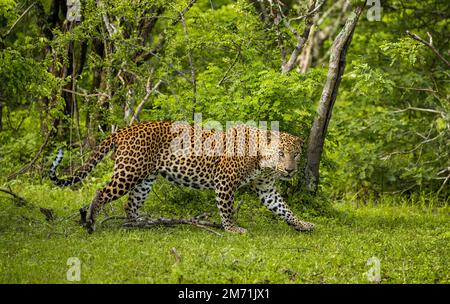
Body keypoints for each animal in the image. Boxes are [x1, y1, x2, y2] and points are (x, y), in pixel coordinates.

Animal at [49, 120, 314, 234]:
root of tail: (125, 129)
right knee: (101, 191)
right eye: (281, 153)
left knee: (130, 203)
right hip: (129, 171)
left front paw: (303, 224)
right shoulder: (225, 181)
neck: (262, 162)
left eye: (296, 154)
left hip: (146, 178)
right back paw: (91, 222)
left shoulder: (266, 188)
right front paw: (232, 229)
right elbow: (227, 209)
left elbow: (283, 208)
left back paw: (138, 224)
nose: (290, 170)